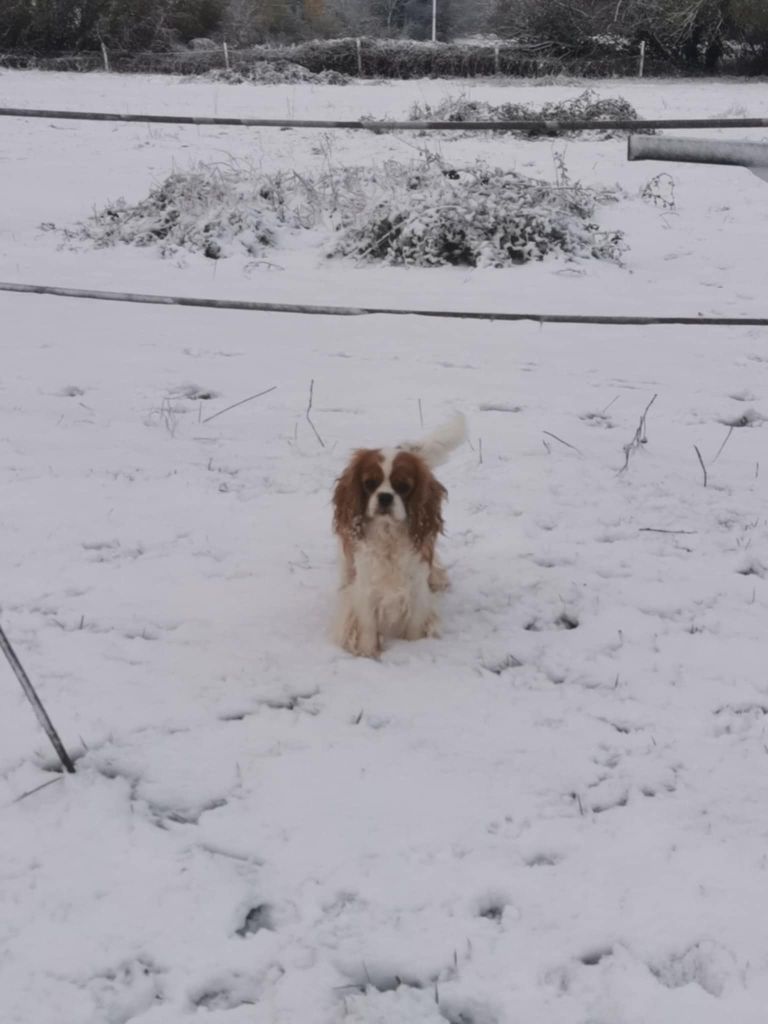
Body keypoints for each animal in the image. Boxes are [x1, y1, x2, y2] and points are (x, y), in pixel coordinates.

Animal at [329, 413, 466, 659]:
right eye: (369, 483)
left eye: (403, 486)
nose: (385, 497)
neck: (388, 536)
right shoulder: (366, 591)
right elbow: (367, 629)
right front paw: (368, 655)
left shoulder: (416, 592)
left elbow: (413, 629)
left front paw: (413, 648)